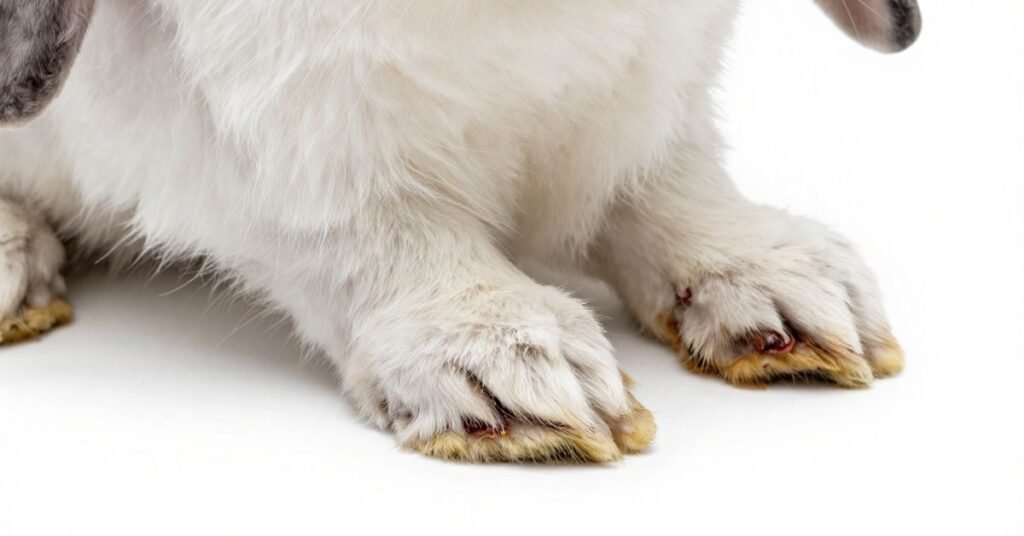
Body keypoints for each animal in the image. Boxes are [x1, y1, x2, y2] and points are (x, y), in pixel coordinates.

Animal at [0, 0, 921, 463]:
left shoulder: (642, 106)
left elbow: (660, 184)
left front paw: (774, 283)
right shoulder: (286, 138)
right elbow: (364, 231)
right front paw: (504, 362)